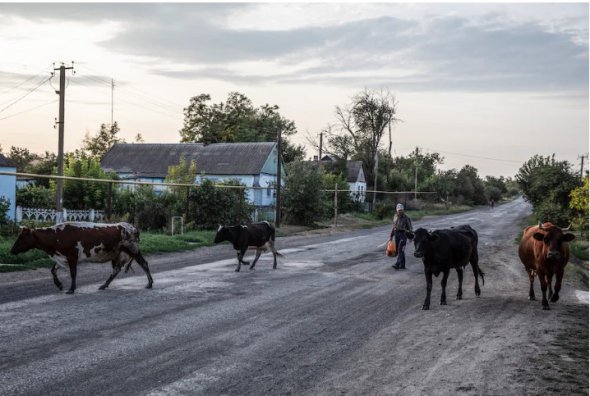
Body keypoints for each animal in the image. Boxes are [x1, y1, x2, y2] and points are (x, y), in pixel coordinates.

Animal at [10, 223, 154, 294]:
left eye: (22, 237)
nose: (12, 250)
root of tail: (132, 227)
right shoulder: (62, 256)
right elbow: (53, 270)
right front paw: (59, 285)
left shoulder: (72, 255)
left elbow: (73, 273)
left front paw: (71, 289)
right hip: (117, 253)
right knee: (116, 269)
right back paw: (104, 285)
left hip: (132, 249)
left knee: (143, 263)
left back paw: (150, 283)